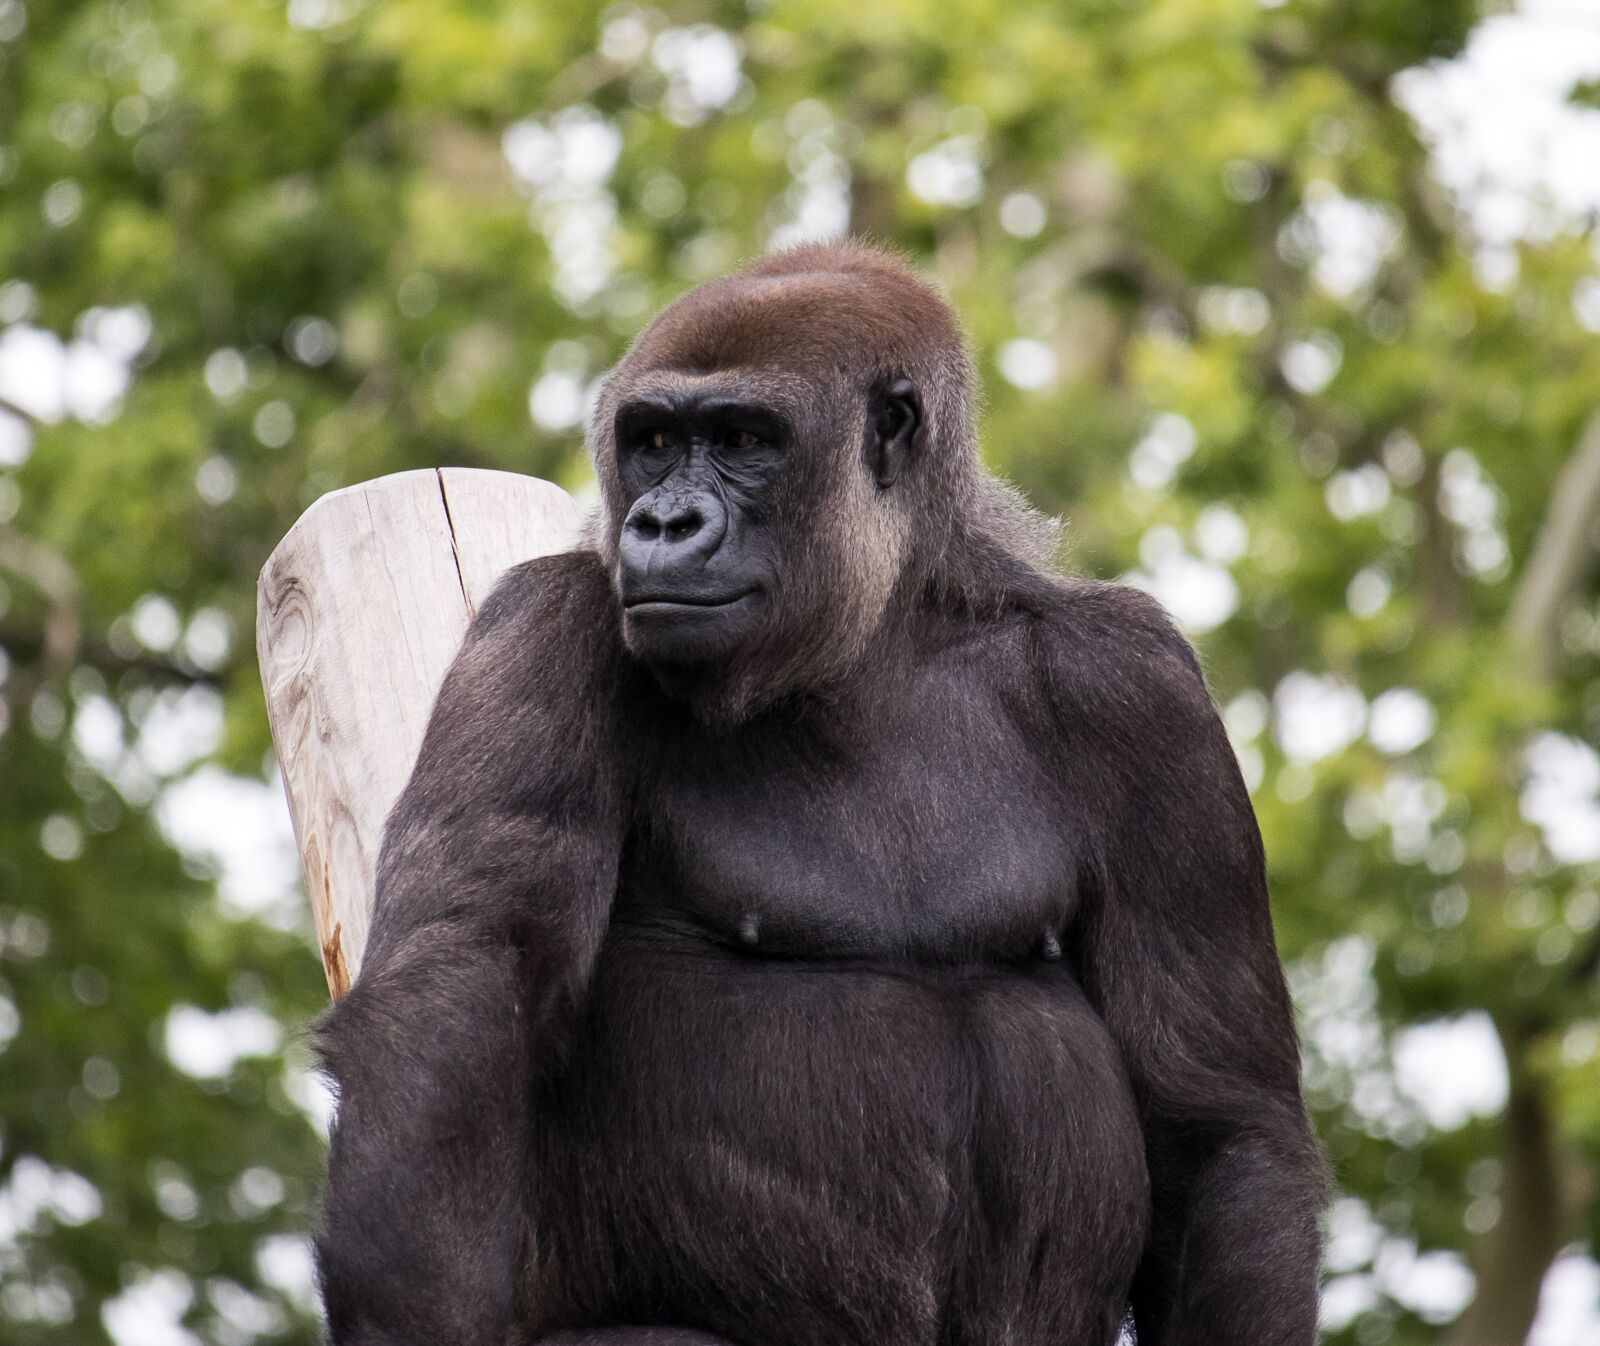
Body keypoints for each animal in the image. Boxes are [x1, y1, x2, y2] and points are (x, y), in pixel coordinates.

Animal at [313, 240, 1324, 1346]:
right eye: (653, 442)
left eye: (744, 440)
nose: (662, 521)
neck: (877, 635)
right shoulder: (546, 618)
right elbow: (461, 987)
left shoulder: (1142, 686)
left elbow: (1219, 1124)